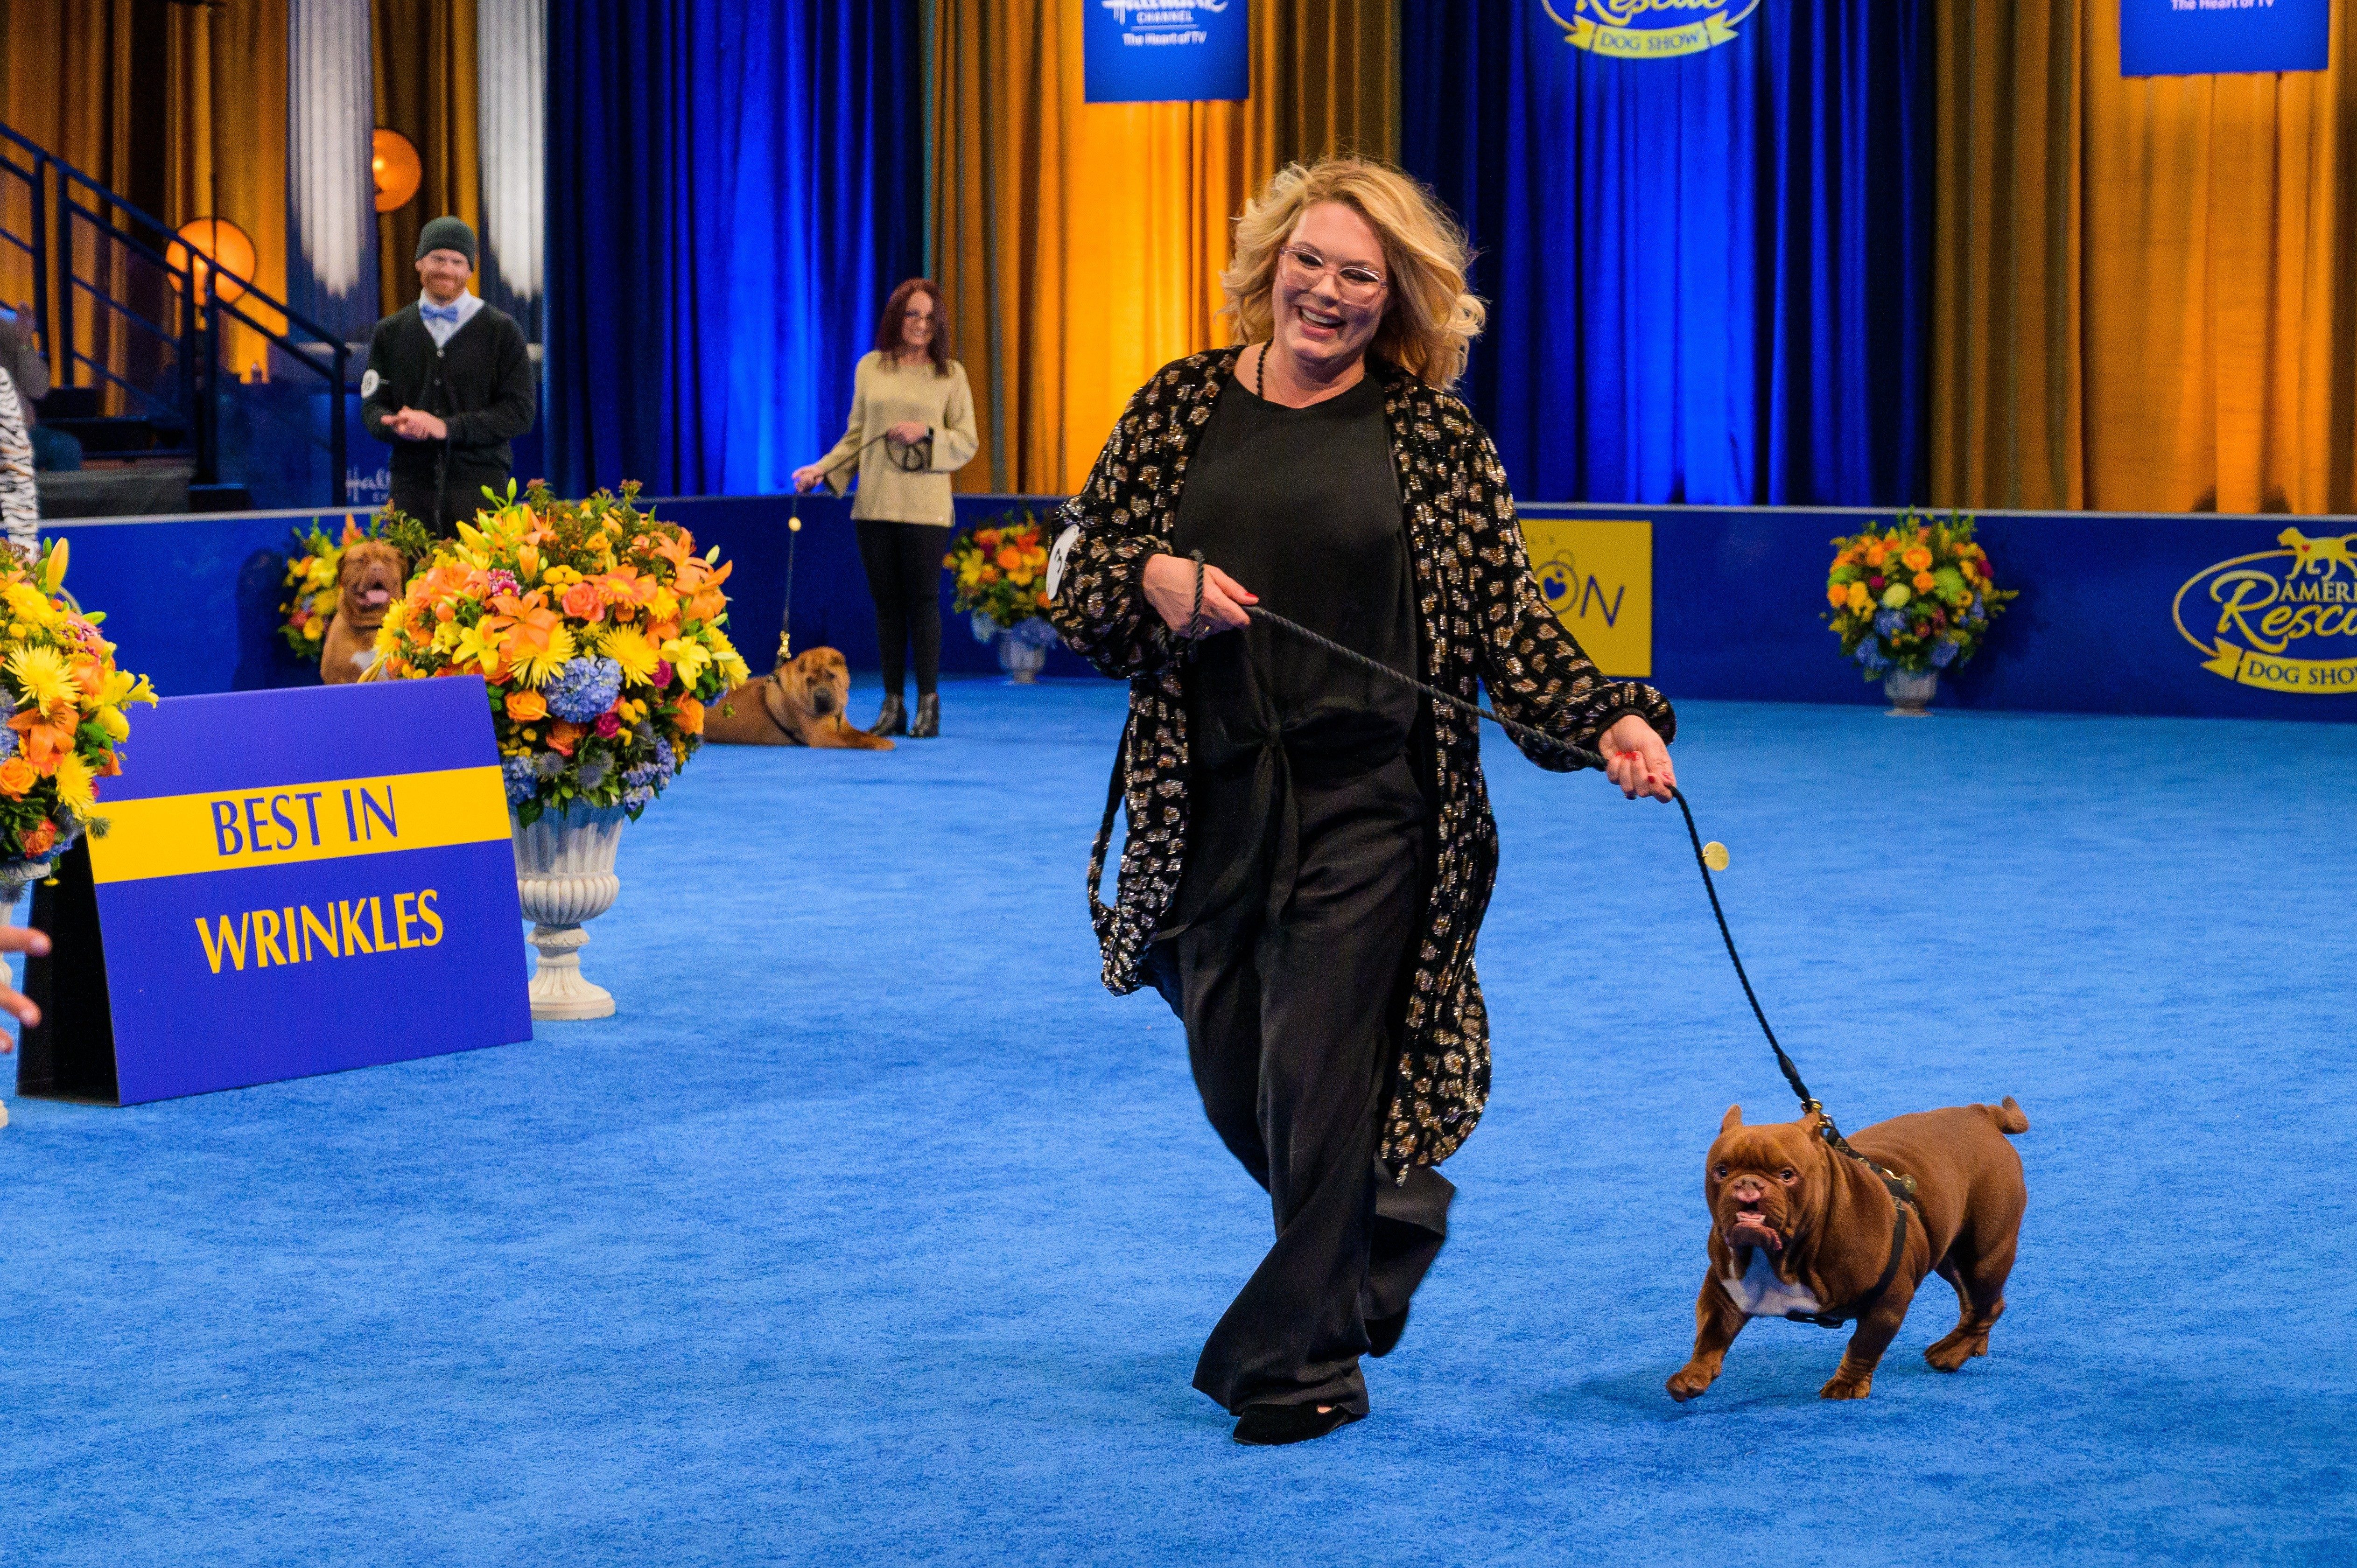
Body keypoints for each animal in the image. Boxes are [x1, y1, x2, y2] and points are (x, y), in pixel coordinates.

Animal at [697, 646, 891, 749]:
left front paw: (878, 738)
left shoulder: (844, 728)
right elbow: (856, 741)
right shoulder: (823, 736)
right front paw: (882, 744)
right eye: (810, 680)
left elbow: (861, 735)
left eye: (831, 675)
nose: (821, 696)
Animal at [1678, 1094, 2027, 1396]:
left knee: (1985, 1302)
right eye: (1721, 1171)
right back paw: (1970, 1346)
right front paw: (1692, 1376)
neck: (1783, 1257)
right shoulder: (1725, 1289)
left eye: (1787, 1174)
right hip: (1949, 1255)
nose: (1748, 1183)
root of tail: (1982, 1114)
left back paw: (1951, 1353)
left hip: (1984, 1254)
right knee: (1974, 1300)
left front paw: (1846, 1386)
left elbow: (1864, 1346)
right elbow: (1711, 1331)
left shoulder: (1888, 1303)